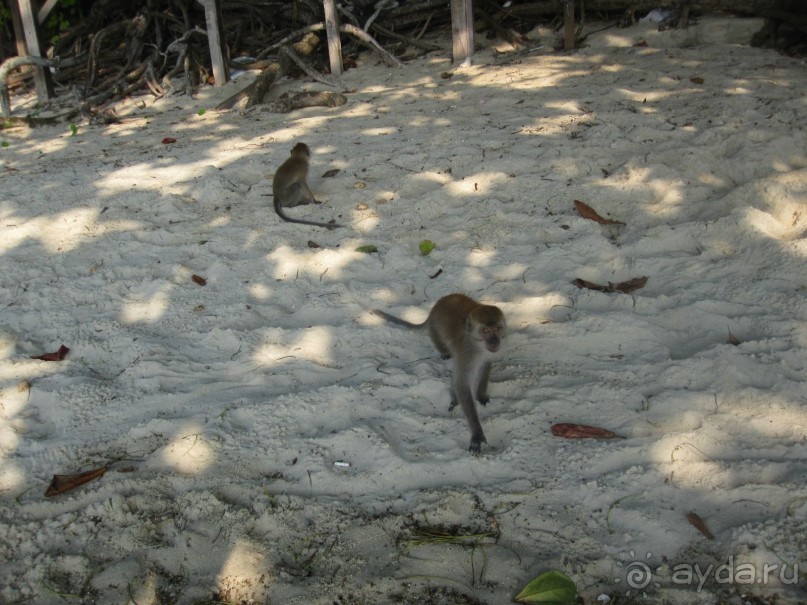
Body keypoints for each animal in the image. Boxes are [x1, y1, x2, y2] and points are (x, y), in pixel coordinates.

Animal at [372, 292, 504, 452]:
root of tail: (434, 309)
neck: (477, 344)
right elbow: (462, 385)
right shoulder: (468, 354)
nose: (494, 341)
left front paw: (481, 395)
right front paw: (477, 433)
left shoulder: (486, 353)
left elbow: (485, 365)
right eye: (486, 331)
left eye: (497, 329)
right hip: (434, 331)